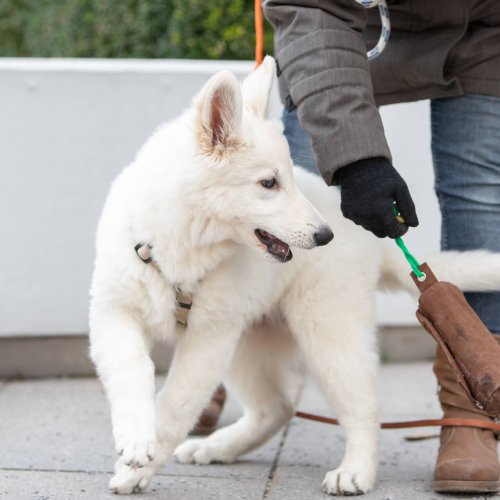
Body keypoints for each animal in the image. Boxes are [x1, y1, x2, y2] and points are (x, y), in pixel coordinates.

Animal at [88, 56, 500, 494]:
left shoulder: (208, 339)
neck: (183, 242)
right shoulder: (114, 312)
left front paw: (138, 468)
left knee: (362, 405)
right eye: (269, 183)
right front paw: (135, 439)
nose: (324, 236)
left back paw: (356, 470)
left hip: (325, 330)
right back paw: (218, 446)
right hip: (248, 341)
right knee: (277, 407)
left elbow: (174, 404)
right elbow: (133, 371)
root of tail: (371, 238)